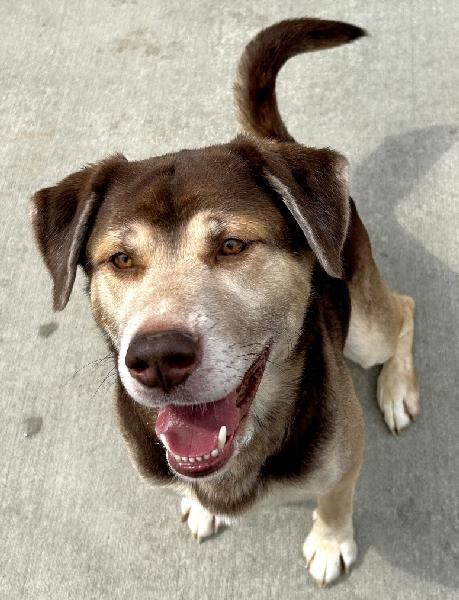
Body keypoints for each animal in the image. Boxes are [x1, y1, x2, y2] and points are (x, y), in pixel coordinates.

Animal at [30, 18, 419, 586]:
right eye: (121, 259)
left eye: (232, 245)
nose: (158, 359)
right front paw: (201, 506)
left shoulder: (345, 457)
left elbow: (334, 499)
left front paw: (331, 542)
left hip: (364, 328)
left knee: (405, 308)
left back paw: (397, 390)